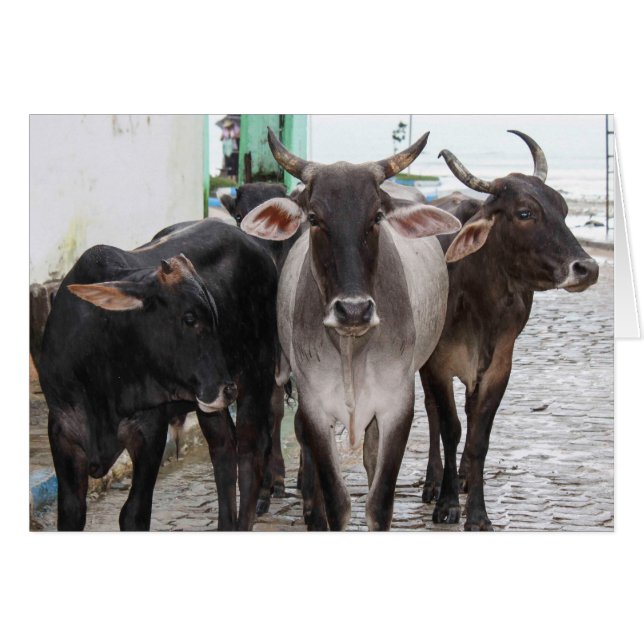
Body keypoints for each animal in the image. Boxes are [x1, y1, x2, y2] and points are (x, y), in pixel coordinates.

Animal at [39, 220, 278, 531]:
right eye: (189, 318)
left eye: (214, 318)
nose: (228, 390)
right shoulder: (62, 432)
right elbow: (71, 512)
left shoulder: (149, 430)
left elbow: (134, 513)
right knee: (224, 448)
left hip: (258, 373)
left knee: (251, 451)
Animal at [241, 129, 465, 531]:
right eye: (314, 218)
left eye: (376, 216)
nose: (354, 310)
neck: (351, 347)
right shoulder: (315, 407)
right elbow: (336, 501)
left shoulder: (396, 406)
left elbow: (379, 501)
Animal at [419, 130, 599, 530]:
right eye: (525, 212)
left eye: (564, 210)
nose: (588, 268)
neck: (477, 298)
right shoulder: (436, 364)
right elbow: (450, 427)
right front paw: (447, 503)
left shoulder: (499, 366)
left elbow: (478, 437)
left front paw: (478, 513)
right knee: (434, 415)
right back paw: (434, 481)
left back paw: (465, 477)